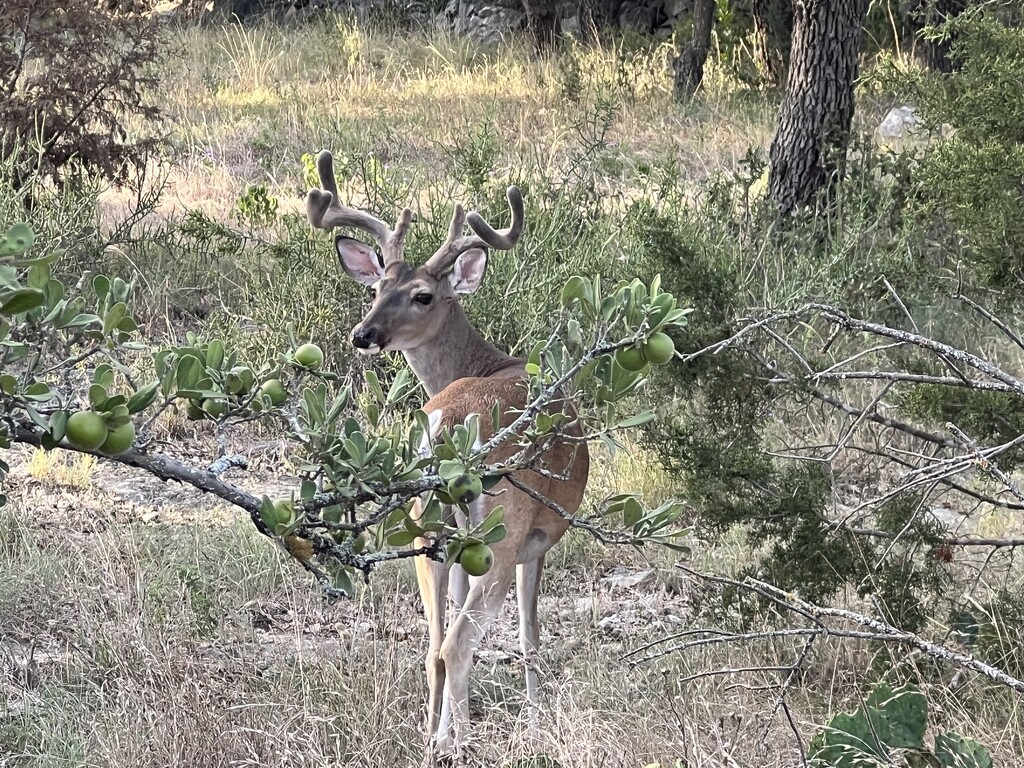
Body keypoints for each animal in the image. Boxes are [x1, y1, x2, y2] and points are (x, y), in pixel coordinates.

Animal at [305, 150, 593, 765]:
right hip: (502, 525)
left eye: (422, 295)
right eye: (376, 287)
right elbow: (531, 634)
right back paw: (459, 744)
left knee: (434, 643)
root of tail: (442, 426)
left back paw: (432, 738)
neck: (485, 362)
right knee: (458, 643)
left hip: (427, 530)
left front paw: (448, 728)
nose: (364, 333)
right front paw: (534, 720)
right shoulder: (538, 538)